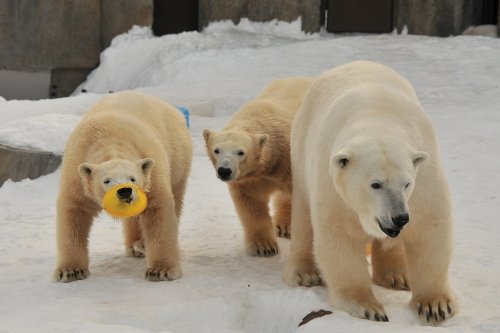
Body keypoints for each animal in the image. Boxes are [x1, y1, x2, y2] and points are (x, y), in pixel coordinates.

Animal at [54, 91, 191, 282]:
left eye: (133, 178)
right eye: (106, 180)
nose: (124, 191)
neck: (108, 141)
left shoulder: (151, 175)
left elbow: (158, 211)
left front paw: (160, 271)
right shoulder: (76, 175)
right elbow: (74, 213)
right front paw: (70, 271)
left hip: (177, 156)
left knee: (176, 195)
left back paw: (140, 245)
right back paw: (135, 246)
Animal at [203, 76, 312, 255]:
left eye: (241, 152)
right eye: (216, 150)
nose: (224, 170)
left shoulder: (289, 163)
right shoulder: (250, 178)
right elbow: (252, 204)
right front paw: (265, 247)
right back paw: (283, 226)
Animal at [284, 61, 456, 322]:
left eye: (407, 183)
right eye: (375, 184)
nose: (399, 217)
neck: (377, 118)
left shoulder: (424, 179)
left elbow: (429, 228)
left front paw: (435, 305)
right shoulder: (334, 184)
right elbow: (340, 235)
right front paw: (368, 307)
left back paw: (397, 275)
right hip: (302, 150)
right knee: (304, 215)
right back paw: (304, 273)